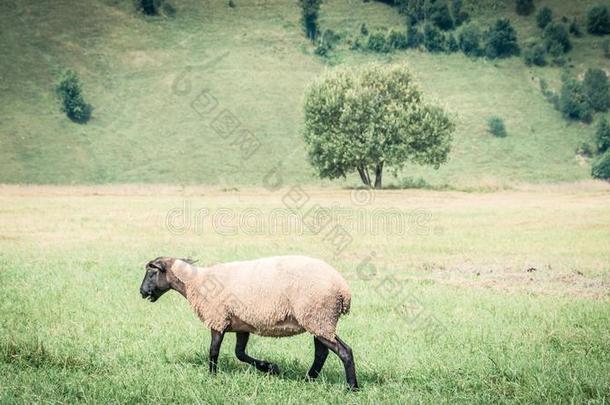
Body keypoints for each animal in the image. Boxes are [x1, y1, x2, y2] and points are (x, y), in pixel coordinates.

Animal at [140, 254, 358, 390]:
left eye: (152, 273)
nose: (141, 292)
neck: (196, 282)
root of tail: (343, 289)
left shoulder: (217, 319)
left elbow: (213, 351)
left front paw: (212, 376)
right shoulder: (240, 325)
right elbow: (240, 353)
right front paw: (270, 368)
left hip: (319, 317)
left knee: (344, 351)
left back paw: (352, 387)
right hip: (318, 320)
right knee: (322, 353)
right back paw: (308, 379)